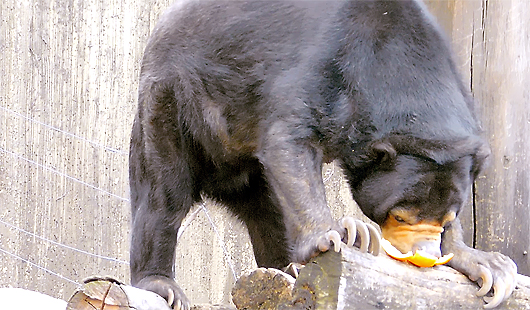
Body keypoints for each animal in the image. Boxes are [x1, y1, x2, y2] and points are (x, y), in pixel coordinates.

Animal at [129, 1, 516, 308]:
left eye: (446, 220)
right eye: (399, 216)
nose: (426, 255)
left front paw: (488, 265)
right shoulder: (321, 69)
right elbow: (288, 141)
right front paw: (336, 234)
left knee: (268, 213)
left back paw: (291, 266)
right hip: (174, 105)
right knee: (164, 196)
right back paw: (161, 283)